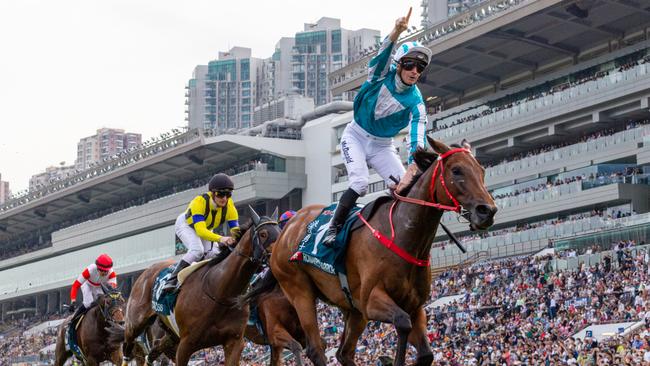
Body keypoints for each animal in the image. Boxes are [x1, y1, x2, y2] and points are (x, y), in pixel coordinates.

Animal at [121, 209, 278, 366]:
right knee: (128, 349)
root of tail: (145, 273)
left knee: (154, 351)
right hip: (134, 324)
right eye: (263, 234)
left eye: (280, 232)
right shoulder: (186, 344)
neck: (221, 292)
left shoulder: (235, 342)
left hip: (171, 335)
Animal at [268, 138, 496, 366]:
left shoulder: (415, 307)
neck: (403, 235)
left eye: (482, 170)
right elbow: (403, 323)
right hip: (299, 291)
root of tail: (286, 229)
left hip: (352, 308)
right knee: (315, 348)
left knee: (343, 352)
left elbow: (425, 354)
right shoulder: (371, 301)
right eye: (456, 170)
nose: (488, 211)